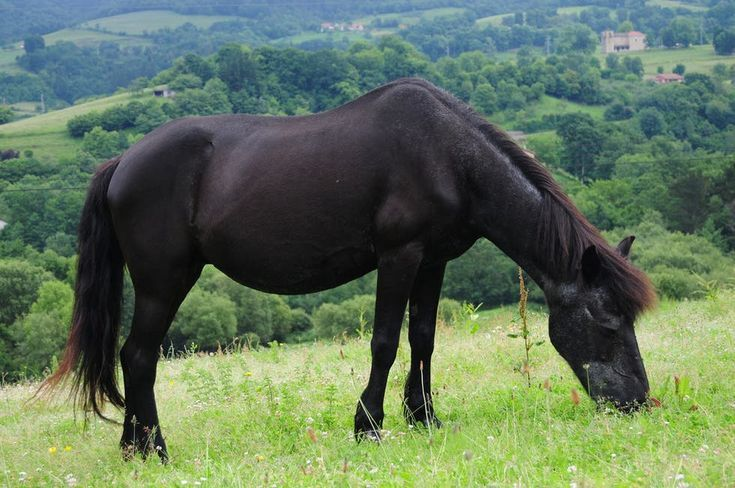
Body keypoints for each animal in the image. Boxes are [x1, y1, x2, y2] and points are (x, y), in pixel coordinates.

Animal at [42, 78, 656, 461]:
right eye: (608, 326)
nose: (638, 404)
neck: (448, 156)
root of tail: (122, 161)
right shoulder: (399, 256)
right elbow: (385, 341)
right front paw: (369, 426)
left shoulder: (433, 261)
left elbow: (424, 338)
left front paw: (424, 418)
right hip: (164, 280)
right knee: (138, 357)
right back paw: (157, 450)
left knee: (132, 360)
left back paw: (134, 449)